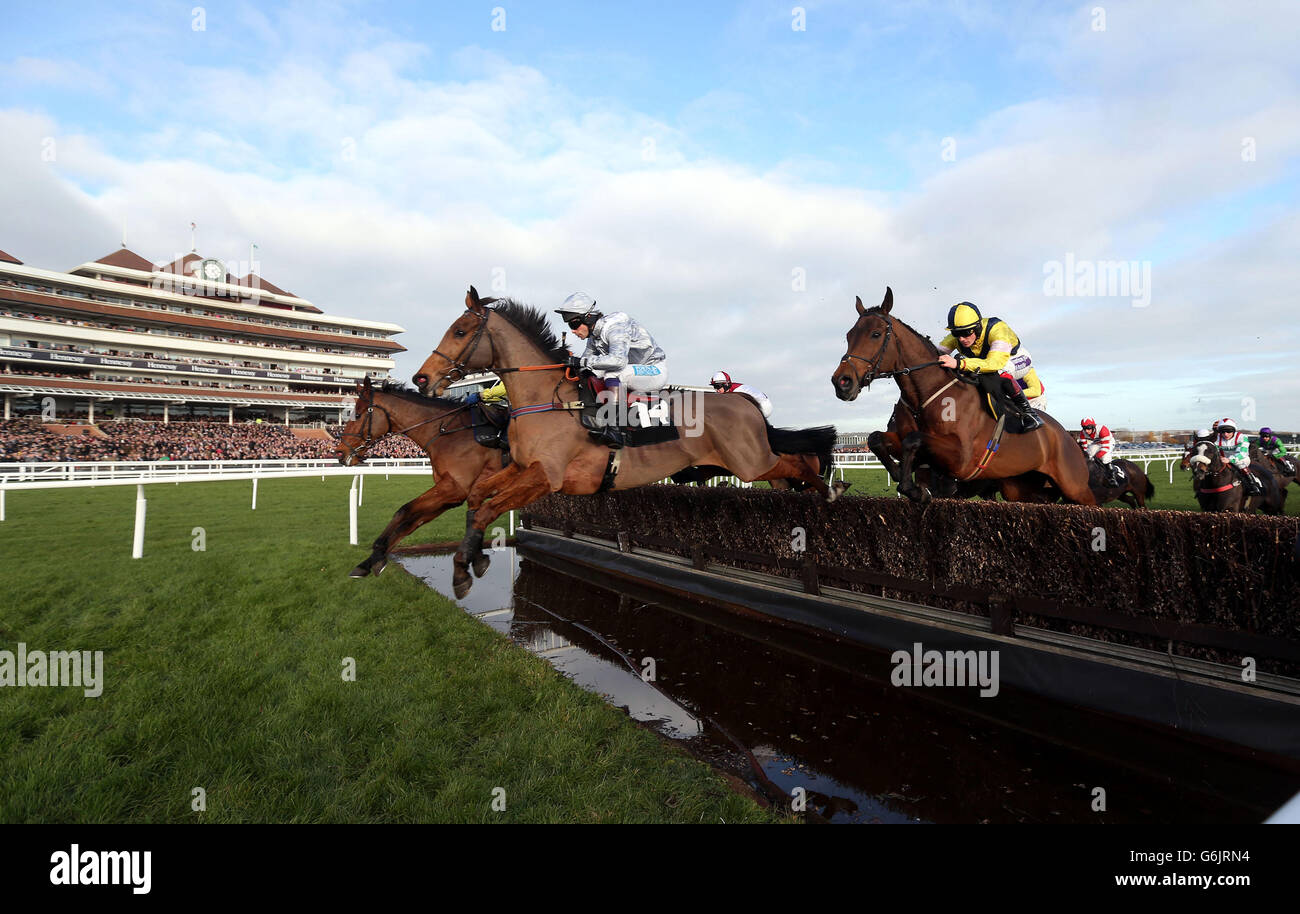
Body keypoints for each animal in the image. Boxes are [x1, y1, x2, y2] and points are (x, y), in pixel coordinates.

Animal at [335, 379, 512, 579]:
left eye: (357, 414)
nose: (339, 452)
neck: (448, 433)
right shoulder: (450, 495)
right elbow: (409, 520)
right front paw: (369, 561)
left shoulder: (455, 488)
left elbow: (405, 511)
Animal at [413, 287, 842, 600]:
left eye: (460, 331)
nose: (422, 378)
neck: (547, 399)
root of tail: (744, 401)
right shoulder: (519, 468)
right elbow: (476, 498)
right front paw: (473, 558)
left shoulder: (547, 477)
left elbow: (487, 509)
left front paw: (463, 570)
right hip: (750, 461)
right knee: (788, 472)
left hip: (750, 462)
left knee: (796, 463)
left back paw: (829, 491)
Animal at [832, 287, 1097, 507]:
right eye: (848, 335)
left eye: (876, 334)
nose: (841, 382)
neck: (925, 395)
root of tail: (1067, 436)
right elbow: (877, 438)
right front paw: (903, 477)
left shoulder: (962, 459)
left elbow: (913, 440)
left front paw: (914, 489)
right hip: (1020, 487)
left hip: (1074, 486)